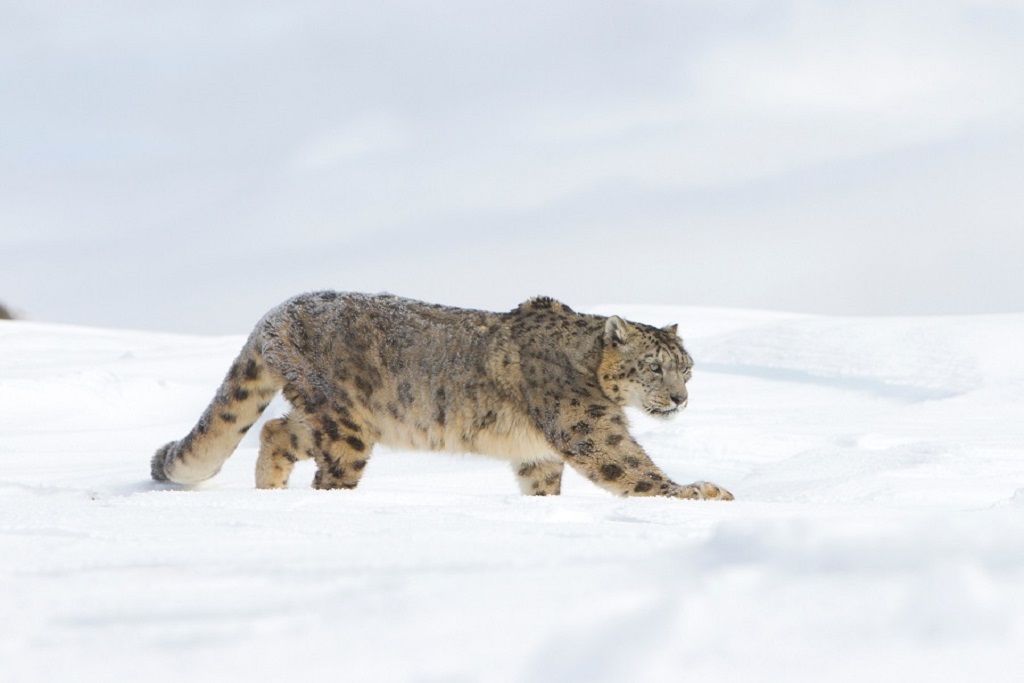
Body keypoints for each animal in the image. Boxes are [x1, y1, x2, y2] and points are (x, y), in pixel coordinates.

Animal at [151, 292, 733, 501]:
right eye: (655, 367)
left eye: (688, 369)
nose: (680, 400)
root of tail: (278, 311)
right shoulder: (589, 427)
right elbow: (634, 468)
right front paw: (699, 492)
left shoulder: (538, 453)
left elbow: (543, 485)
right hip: (345, 423)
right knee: (327, 470)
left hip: (328, 414)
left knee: (274, 429)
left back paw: (268, 493)